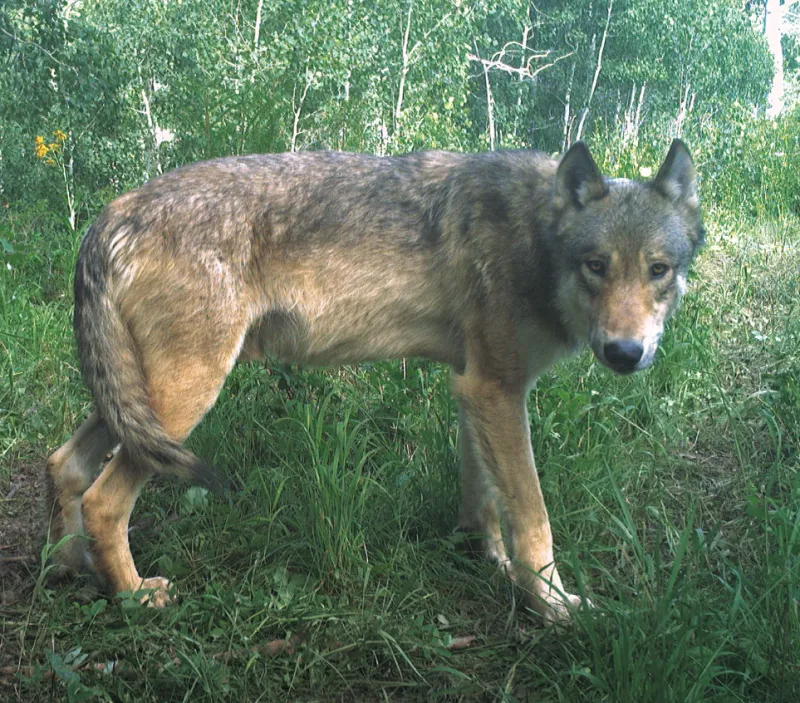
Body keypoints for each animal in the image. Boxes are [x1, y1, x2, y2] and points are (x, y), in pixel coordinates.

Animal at [45, 140, 703, 623]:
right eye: (596, 266)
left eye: (658, 270)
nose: (625, 353)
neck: (534, 235)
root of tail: (111, 214)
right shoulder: (497, 390)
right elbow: (534, 515)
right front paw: (553, 605)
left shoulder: (472, 388)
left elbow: (487, 498)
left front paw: (486, 557)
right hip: (180, 404)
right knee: (103, 499)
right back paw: (133, 597)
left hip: (137, 405)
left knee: (63, 464)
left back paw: (69, 567)